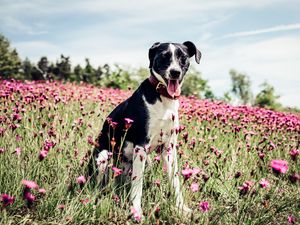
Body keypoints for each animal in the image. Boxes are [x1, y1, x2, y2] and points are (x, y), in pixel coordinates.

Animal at [89, 40, 202, 218]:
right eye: (164, 56)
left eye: (183, 57)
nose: (175, 72)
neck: (163, 97)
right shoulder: (141, 145)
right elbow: (138, 184)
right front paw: (136, 211)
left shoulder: (168, 147)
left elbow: (175, 180)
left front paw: (181, 208)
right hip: (103, 157)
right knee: (100, 184)